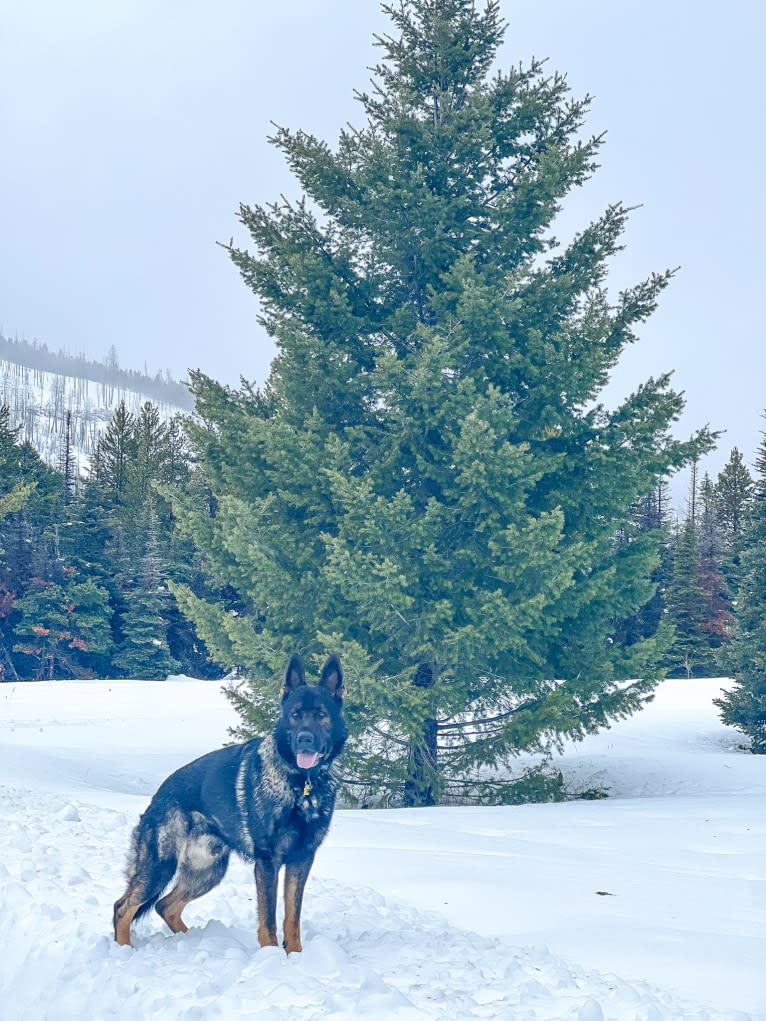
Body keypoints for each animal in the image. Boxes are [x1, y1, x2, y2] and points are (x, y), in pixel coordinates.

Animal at [113, 657, 347, 951]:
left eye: (321, 715)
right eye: (295, 715)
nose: (304, 739)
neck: (302, 784)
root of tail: (158, 796)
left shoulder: (301, 859)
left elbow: (292, 917)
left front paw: (295, 954)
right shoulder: (268, 861)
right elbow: (269, 919)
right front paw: (270, 955)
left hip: (208, 870)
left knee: (165, 906)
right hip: (162, 865)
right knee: (123, 906)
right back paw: (124, 949)